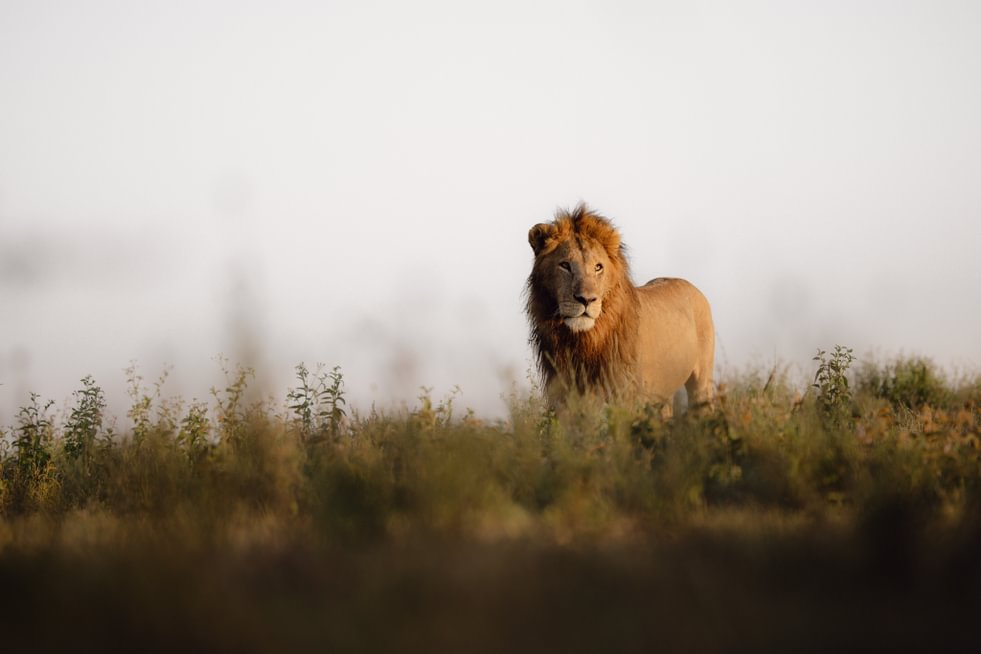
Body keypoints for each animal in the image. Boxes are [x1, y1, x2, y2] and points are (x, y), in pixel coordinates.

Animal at [526, 204, 715, 414]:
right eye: (565, 265)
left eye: (598, 267)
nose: (586, 299)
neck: (584, 341)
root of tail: (691, 285)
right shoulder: (564, 398)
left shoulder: (626, 398)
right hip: (662, 395)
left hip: (701, 383)